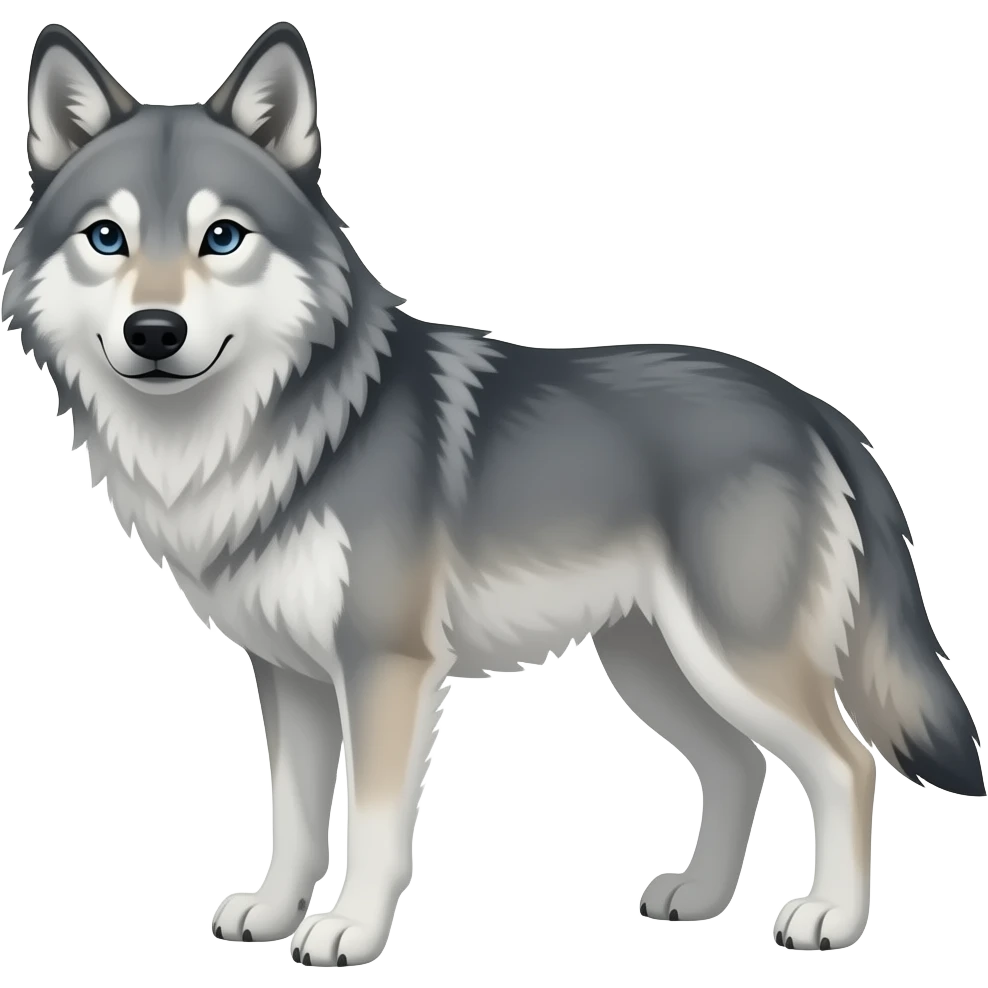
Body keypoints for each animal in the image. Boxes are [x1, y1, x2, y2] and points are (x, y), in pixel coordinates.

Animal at [2, 19, 983, 966]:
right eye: (106, 238)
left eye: (223, 237)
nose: (154, 331)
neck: (265, 437)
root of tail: (810, 406)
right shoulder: (289, 675)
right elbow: (294, 820)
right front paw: (275, 914)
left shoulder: (386, 667)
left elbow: (371, 822)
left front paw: (349, 931)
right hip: (654, 663)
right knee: (740, 766)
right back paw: (699, 900)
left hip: (734, 659)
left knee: (846, 765)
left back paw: (831, 919)